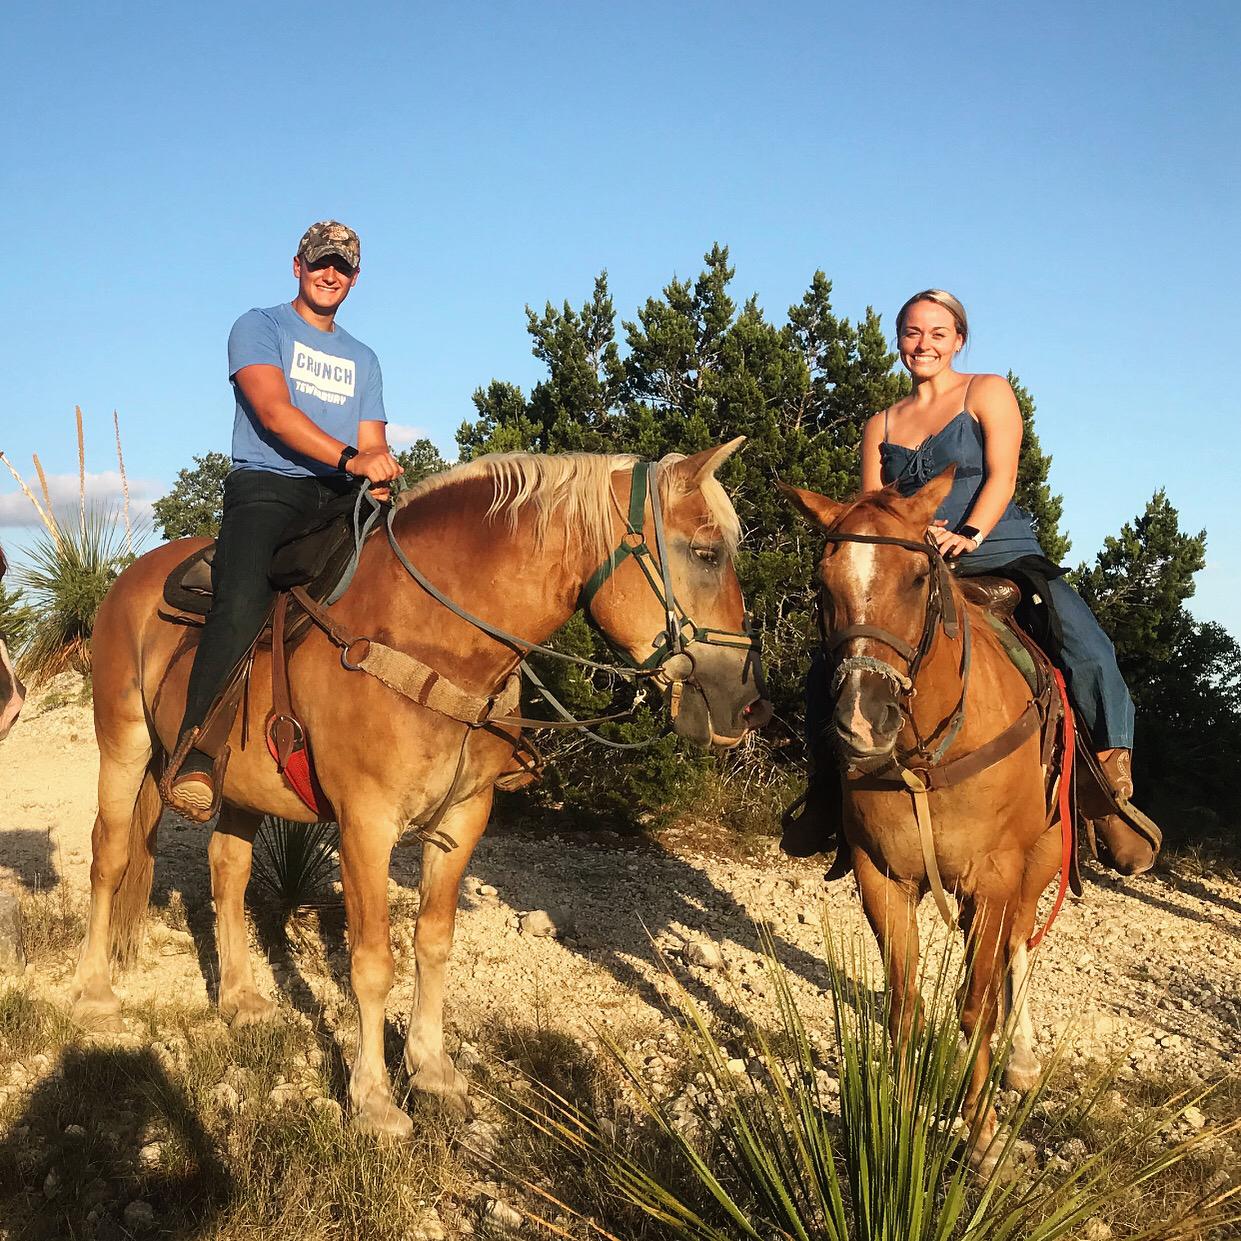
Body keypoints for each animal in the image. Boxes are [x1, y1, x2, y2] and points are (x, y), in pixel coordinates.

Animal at [75, 444, 764, 1136]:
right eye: (707, 552)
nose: (744, 702)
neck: (429, 637)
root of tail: (131, 578)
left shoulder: (462, 818)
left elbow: (433, 944)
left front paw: (431, 1071)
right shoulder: (365, 823)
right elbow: (373, 963)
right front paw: (374, 1098)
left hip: (238, 787)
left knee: (229, 871)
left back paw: (241, 999)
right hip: (124, 746)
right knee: (109, 856)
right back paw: (96, 992)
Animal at [789, 471, 1062, 1171]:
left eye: (918, 579)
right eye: (822, 586)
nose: (863, 722)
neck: (928, 754)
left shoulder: (995, 879)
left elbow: (975, 1009)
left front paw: (983, 1135)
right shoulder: (880, 876)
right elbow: (905, 1006)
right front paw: (899, 1121)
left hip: (1037, 866)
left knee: (1018, 951)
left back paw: (1023, 1063)